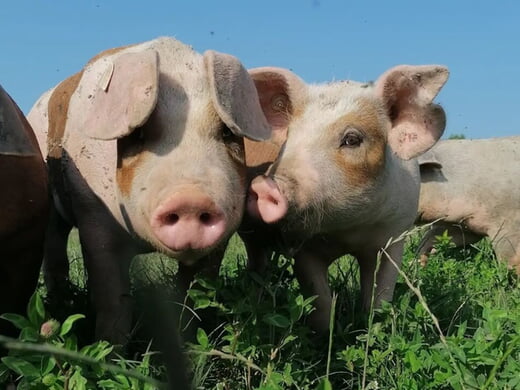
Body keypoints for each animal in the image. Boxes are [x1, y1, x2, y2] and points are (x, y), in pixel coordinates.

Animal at [27, 37, 272, 344]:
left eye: (227, 133)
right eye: (138, 134)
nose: (190, 199)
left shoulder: (225, 232)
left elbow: (193, 295)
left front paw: (190, 345)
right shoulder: (93, 216)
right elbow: (113, 300)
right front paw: (110, 349)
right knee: (54, 248)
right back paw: (60, 305)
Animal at [247, 64, 446, 332]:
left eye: (352, 139)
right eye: (289, 137)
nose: (265, 185)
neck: (349, 231)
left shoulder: (394, 237)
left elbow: (379, 298)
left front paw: (373, 328)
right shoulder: (304, 248)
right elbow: (321, 302)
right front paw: (324, 333)